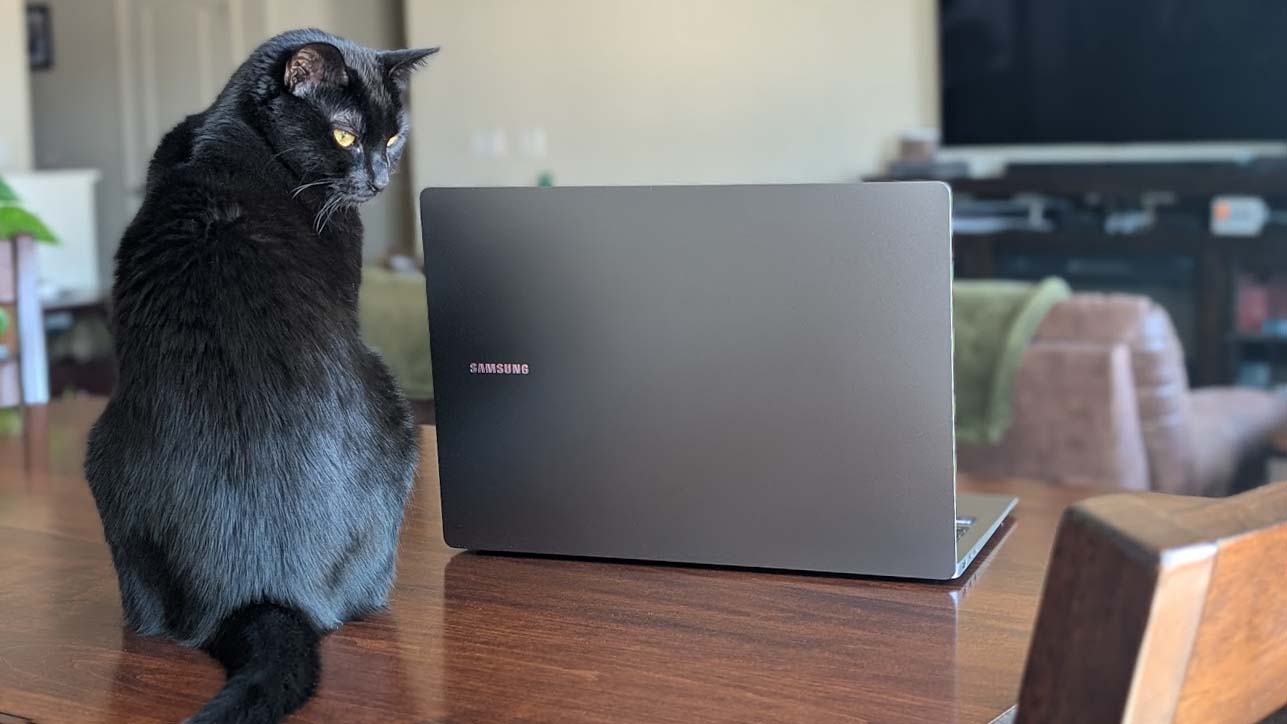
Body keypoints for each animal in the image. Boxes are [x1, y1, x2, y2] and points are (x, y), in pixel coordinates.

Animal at [86, 28, 437, 724]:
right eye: (345, 137)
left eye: (392, 138)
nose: (380, 179)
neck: (230, 130)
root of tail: (263, 593)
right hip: (396, 410)